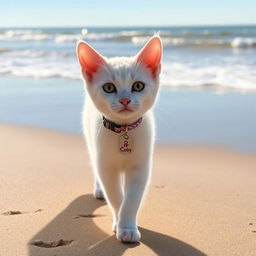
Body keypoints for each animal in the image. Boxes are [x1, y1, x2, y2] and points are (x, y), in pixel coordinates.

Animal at [77, 35, 163, 242]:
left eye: (138, 86)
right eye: (109, 88)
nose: (125, 100)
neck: (124, 129)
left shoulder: (140, 166)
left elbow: (131, 199)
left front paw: (128, 227)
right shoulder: (106, 167)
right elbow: (115, 195)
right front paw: (120, 223)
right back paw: (99, 190)